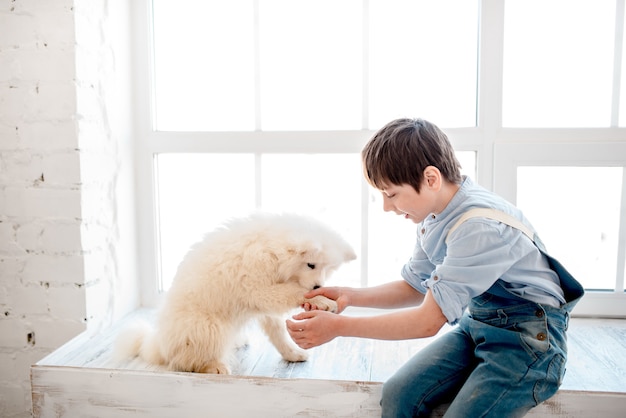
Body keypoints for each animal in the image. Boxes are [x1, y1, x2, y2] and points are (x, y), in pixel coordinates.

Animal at [114, 214, 354, 374]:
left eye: (328, 268)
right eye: (311, 265)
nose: (318, 286)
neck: (272, 252)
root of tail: (159, 345)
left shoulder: (263, 303)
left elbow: (278, 333)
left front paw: (293, 353)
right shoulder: (260, 289)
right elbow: (294, 292)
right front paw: (321, 300)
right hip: (210, 327)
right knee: (185, 361)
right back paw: (214, 366)